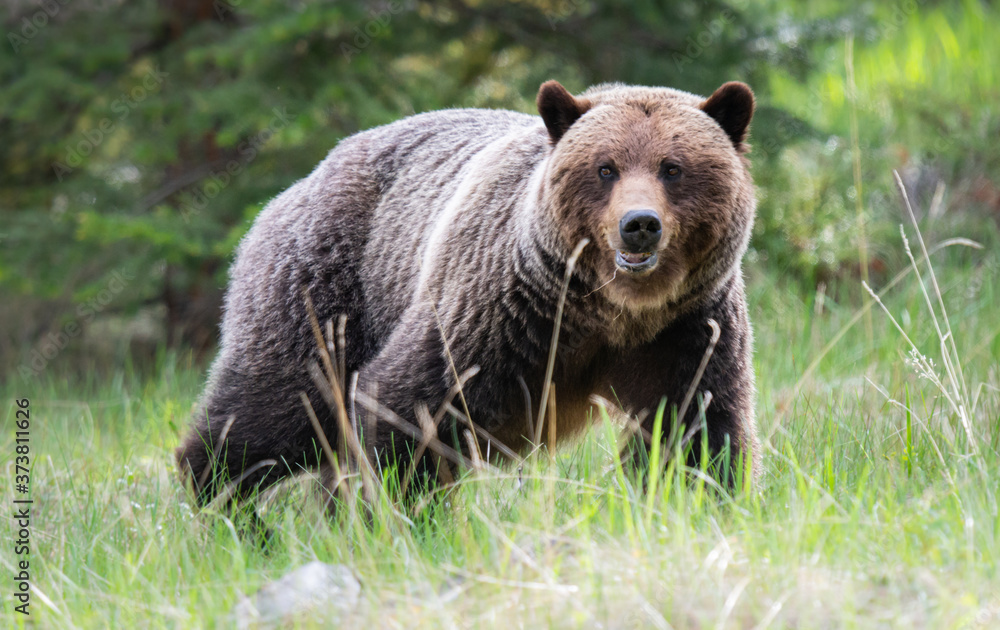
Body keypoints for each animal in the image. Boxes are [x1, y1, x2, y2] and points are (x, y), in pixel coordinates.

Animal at [178, 80, 756, 508]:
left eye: (672, 167)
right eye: (606, 167)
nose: (639, 225)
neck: (609, 311)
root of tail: (306, 178)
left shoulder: (686, 329)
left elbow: (699, 430)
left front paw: (703, 503)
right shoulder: (498, 312)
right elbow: (408, 406)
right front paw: (406, 516)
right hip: (327, 289)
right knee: (274, 407)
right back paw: (220, 509)